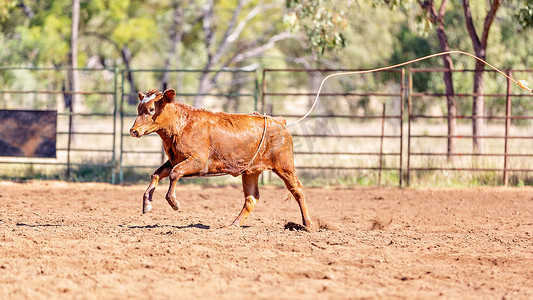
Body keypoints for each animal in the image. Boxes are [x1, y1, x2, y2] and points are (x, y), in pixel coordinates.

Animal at [130, 88, 312, 229]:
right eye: (139, 108)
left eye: (151, 109)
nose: (133, 130)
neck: (182, 125)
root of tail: (279, 122)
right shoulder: (175, 160)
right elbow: (157, 174)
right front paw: (147, 204)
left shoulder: (198, 162)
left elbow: (174, 173)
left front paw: (174, 202)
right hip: (251, 172)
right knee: (251, 198)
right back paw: (233, 225)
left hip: (284, 166)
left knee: (297, 189)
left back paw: (307, 224)